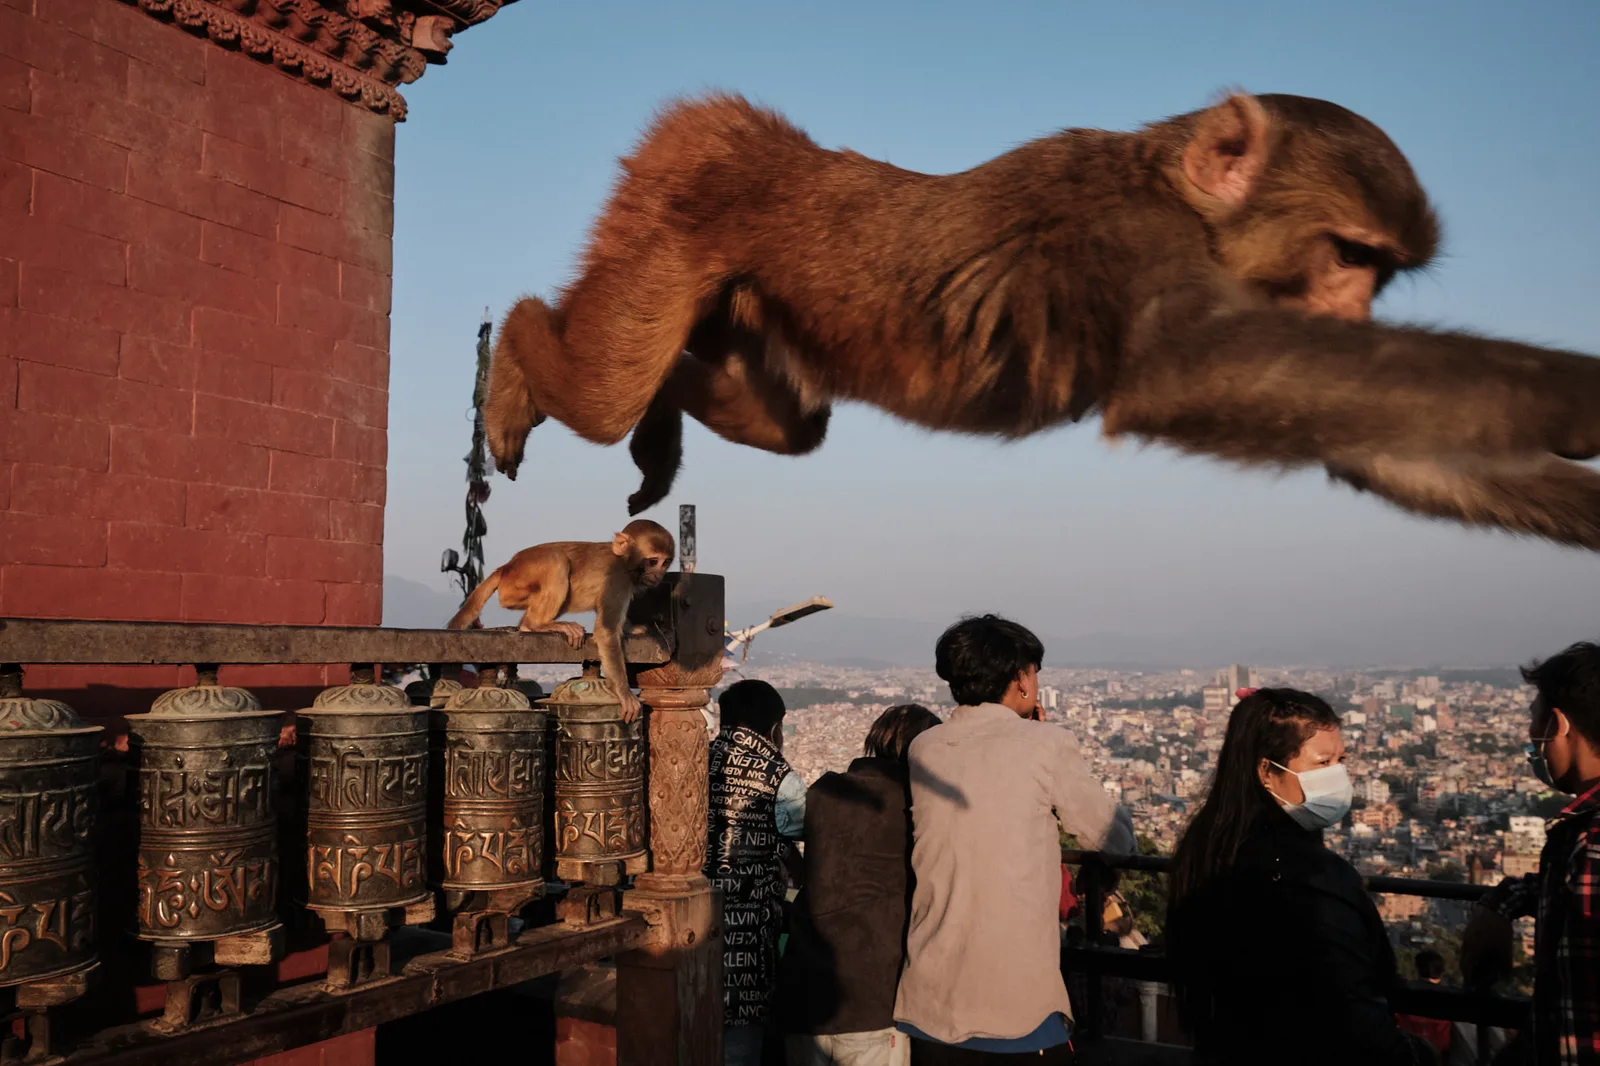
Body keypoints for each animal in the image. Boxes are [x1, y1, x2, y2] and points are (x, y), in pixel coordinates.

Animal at [445, 519, 675, 721]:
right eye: (652, 561)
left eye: (665, 562)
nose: (658, 575)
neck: (625, 562)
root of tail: (506, 567)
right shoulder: (618, 579)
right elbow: (606, 631)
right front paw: (624, 693)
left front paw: (633, 629)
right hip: (516, 583)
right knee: (557, 562)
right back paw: (536, 624)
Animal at [483, 91, 1600, 551]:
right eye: (1347, 255)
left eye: (1380, 274)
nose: (1355, 312)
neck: (1173, 190)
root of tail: (743, 137)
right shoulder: (1127, 240)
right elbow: (1188, 371)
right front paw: (1583, 393)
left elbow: (1376, 446)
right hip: (667, 226)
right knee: (601, 383)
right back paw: (521, 354)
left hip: (734, 292)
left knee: (784, 422)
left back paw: (660, 419)